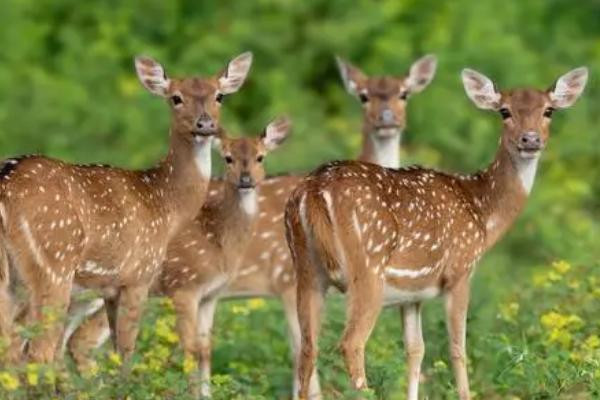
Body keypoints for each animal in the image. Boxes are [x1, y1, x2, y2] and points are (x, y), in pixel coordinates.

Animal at [0, 50, 253, 366]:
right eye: (176, 97)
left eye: (219, 96)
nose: (205, 125)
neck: (165, 205)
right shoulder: (138, 275)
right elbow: (127, 353)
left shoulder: (110, 290)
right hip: (54, 263)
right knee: (38, 352)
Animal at [65, 54, 438, 398]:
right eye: (363, 95)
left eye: (404, 93)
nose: (387, 120)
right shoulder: (287, 280)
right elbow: (300, 352)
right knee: (82, 340)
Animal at [284, 64, 588, 398]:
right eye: (504, 111)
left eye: (549, 110)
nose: (530, 139)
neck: (482, 212)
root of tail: (315, 191)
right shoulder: (460, 271)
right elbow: (457, 349)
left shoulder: (411, 295)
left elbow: (416, 349)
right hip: (366, 267)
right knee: (350, 343)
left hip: (306, 270)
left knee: (306, 348)